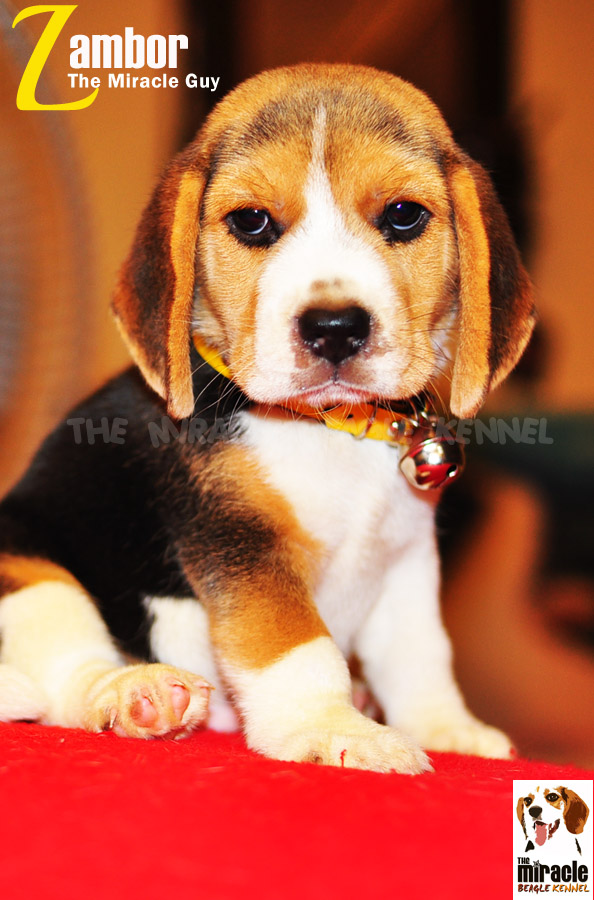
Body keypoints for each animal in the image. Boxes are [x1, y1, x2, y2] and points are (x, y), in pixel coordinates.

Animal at [0, 64, 535, 773]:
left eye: (403, 215)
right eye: (252, 222)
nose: (335, 327)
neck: (333, 430)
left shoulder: (405, 559)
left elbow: (420, 655)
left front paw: (445, 728)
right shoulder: (245, 542)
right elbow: (297, 647)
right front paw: (330, 727)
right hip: (30, 567)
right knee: (65, 679)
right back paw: (134, 691)